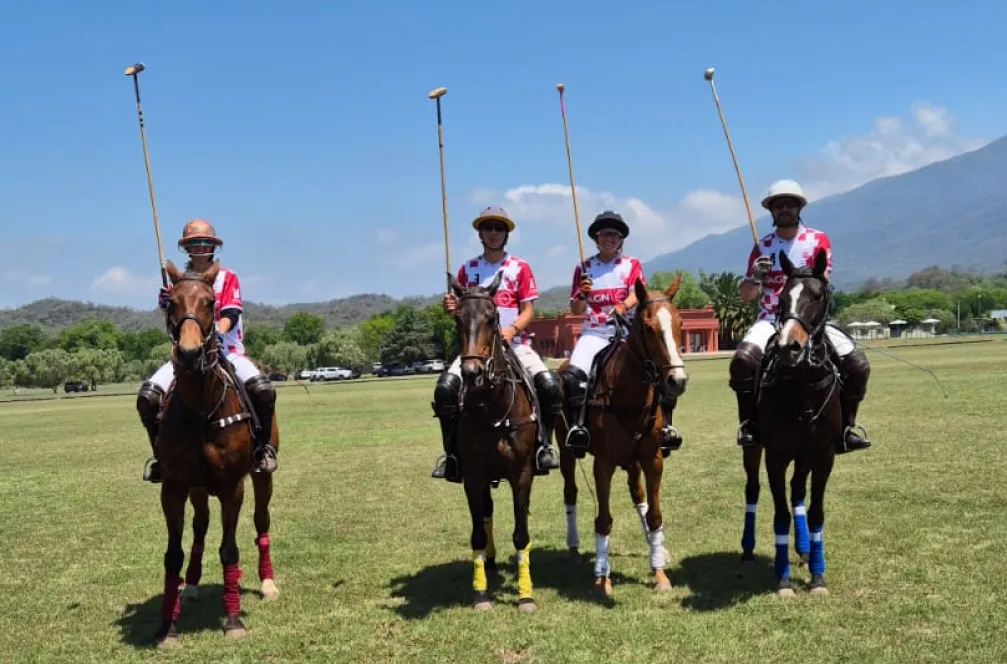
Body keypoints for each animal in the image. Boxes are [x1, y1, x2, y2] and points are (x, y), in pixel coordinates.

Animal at [153, 261, 279, 644]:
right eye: (171, 302)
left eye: (210, 302)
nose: (189, 354)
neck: (200, 409)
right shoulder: (174, 486)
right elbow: (173, 554)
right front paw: (166, 627)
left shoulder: (231, 485)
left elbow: (229, 549)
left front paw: (234, 619)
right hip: (197, 489)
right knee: (199, 528)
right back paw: (191, 586)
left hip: (262, 474)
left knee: (261, 521)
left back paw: (267, 583)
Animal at [451, 268, 543, 612]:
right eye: (457, 318)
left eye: (491, 318)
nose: (472, 372)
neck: (493, 407)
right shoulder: (473, 475)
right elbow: (477, 533)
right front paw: (481, 593)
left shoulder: (522, 473)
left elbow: (521, 535)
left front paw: (525, 594)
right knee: (486, 512)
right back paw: (489, 560)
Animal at [555, 276, 688, 596]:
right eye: (648, 327)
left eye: (679, 322)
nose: (677, 381)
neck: (629, 394)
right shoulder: (603, 463)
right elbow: (603, 520)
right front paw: (602, 578)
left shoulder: (652, 459)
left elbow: (654, 514)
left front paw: (660, 572)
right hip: (566, 452)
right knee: (570, 492)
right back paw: (573, 547)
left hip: (633, 460)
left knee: (637, 495)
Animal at [741, 247, 841, 596]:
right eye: (782, 298)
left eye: (817, 295)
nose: (789, 347)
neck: (803, 386)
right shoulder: (776, 454)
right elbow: (781, 514)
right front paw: (783, 580)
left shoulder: (823, 454)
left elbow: (816, 513)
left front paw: (818, 576)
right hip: (754, 448)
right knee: (753, 488)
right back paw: (748, 549)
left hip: (805, 455)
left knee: (798, 490)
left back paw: (804, 550)